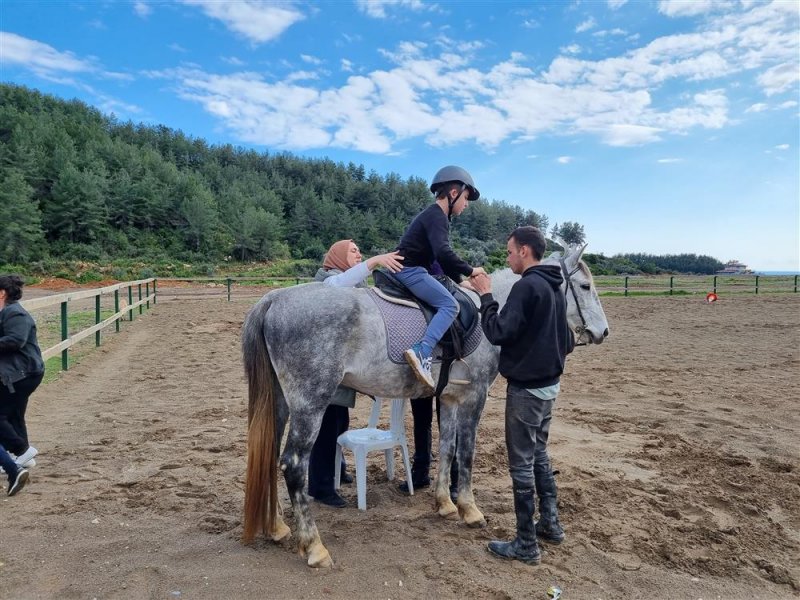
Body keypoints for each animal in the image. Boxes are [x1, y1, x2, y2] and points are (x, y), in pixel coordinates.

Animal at [242, 243, 608, 568]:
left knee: (270, 453)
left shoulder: (448, 399)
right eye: (585, 286)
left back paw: (276, 527)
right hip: (310, 403)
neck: (488, 314)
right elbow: (466, 453)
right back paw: (314, 546)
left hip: (282, 402)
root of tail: (274, 299)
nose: (603, 331)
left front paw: (445, 503)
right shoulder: (475, 397)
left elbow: (446, 448)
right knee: (293, 464)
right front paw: (469, 509)